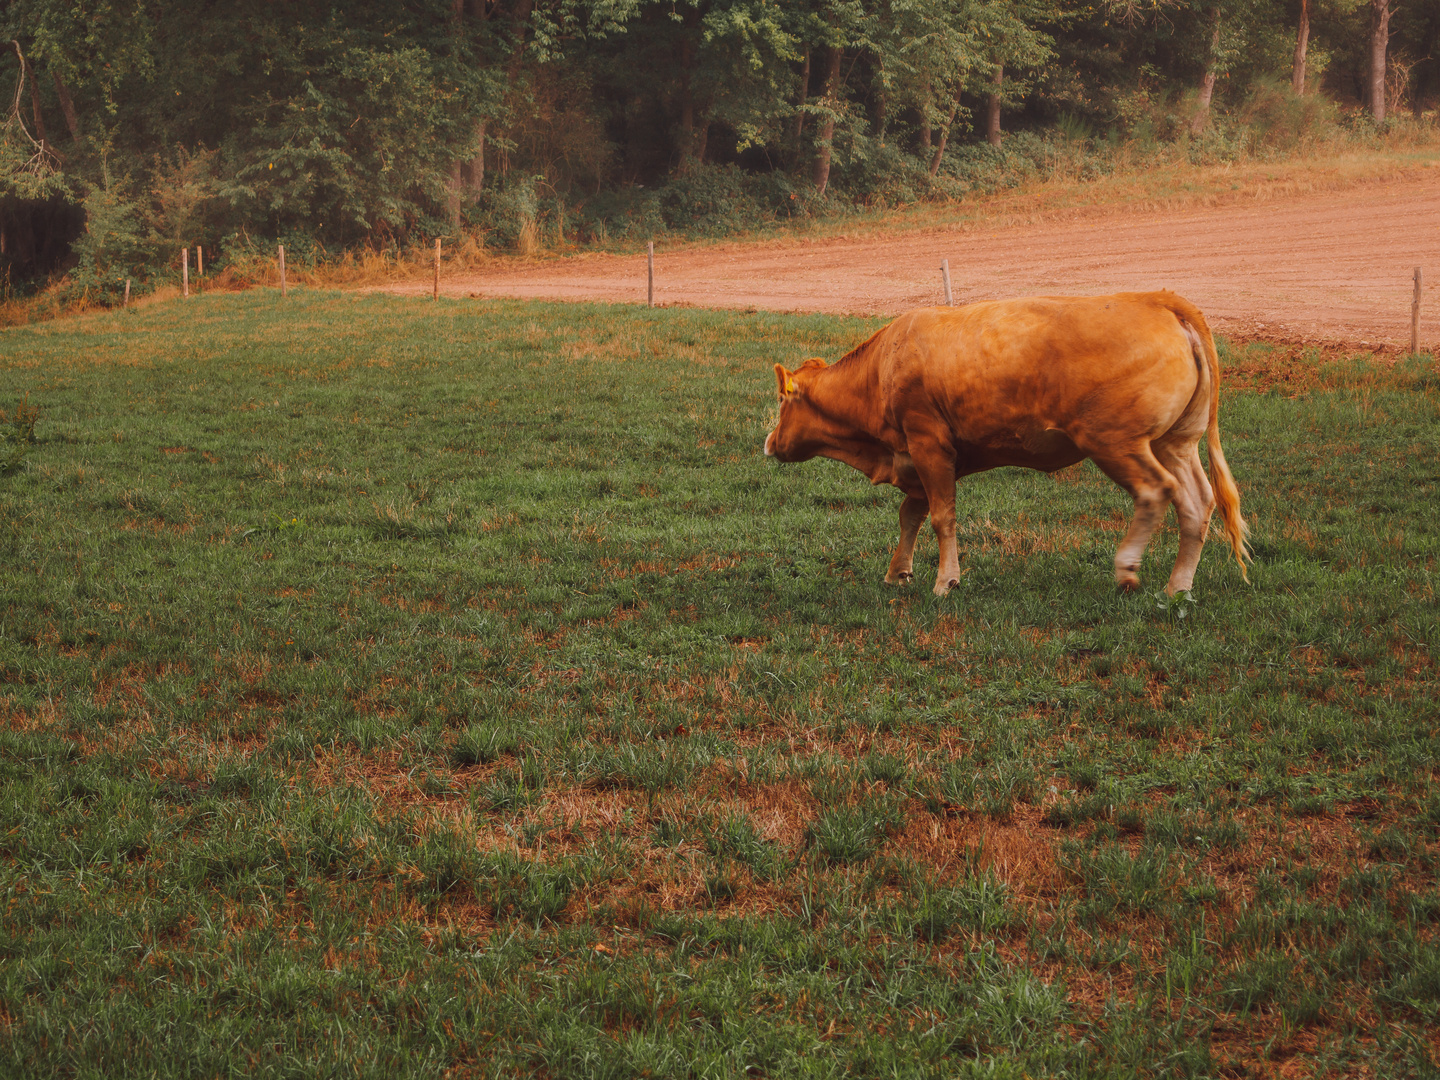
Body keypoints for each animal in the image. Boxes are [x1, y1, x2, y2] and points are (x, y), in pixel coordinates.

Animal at [766, 292, 1249, 601]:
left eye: (781, 400)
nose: (768, 443)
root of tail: (1157, 298)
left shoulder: (928, 443)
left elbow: (941, 517)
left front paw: (945, 581)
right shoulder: (919, 458)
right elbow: (911, 515)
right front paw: (897, 572)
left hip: (1115, 442)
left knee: (1156, 491)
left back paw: (1127, 568)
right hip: (1175, 442)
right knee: (1197, 503)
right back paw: (1177, 587)